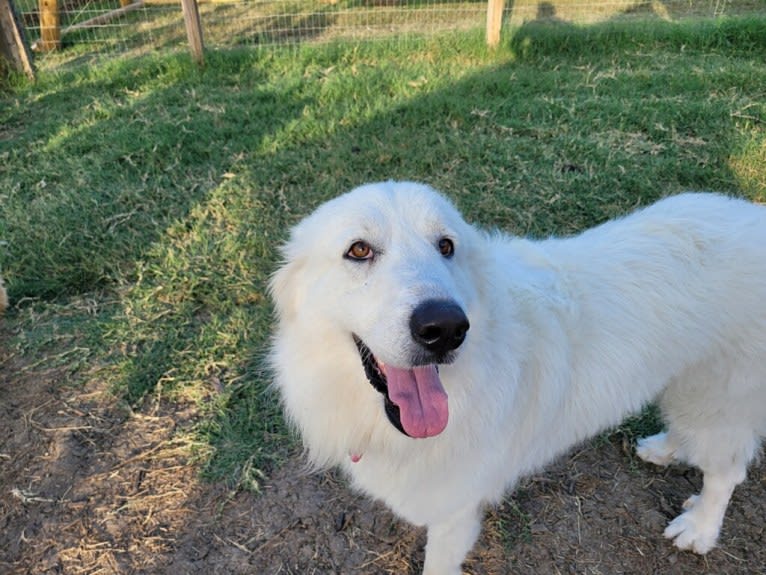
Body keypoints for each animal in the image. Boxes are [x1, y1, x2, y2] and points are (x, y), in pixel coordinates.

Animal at [268, 182, 766, 572]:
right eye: (359, 250)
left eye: (446, 246)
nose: (445, 328)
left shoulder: (454, 515)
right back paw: (665, 448)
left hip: (717, 396)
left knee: (727, 471)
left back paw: (699, 528)